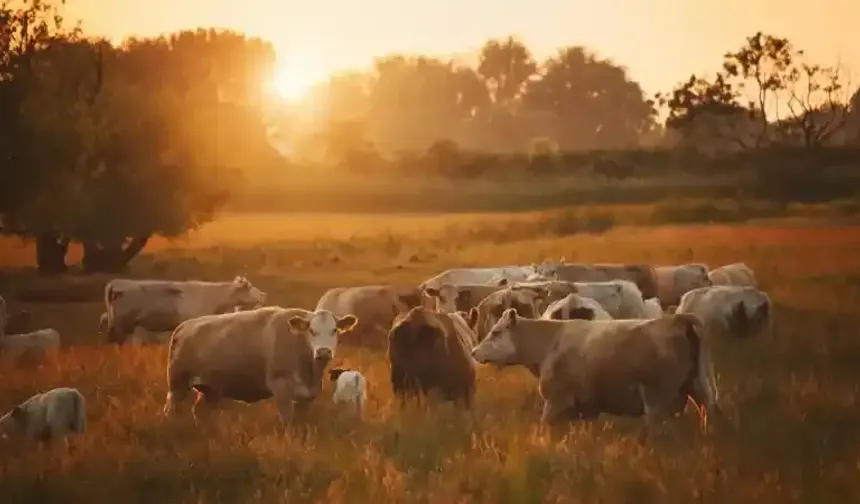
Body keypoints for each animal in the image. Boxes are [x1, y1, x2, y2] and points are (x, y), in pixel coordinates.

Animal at [470, 308, 720, 438]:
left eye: (496, 332)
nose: (474, 352)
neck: (549, 342)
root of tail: (678, 318)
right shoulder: (588, 406)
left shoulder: (556, 401)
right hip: (699, 387)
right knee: (708, 411)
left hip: (657, 400)